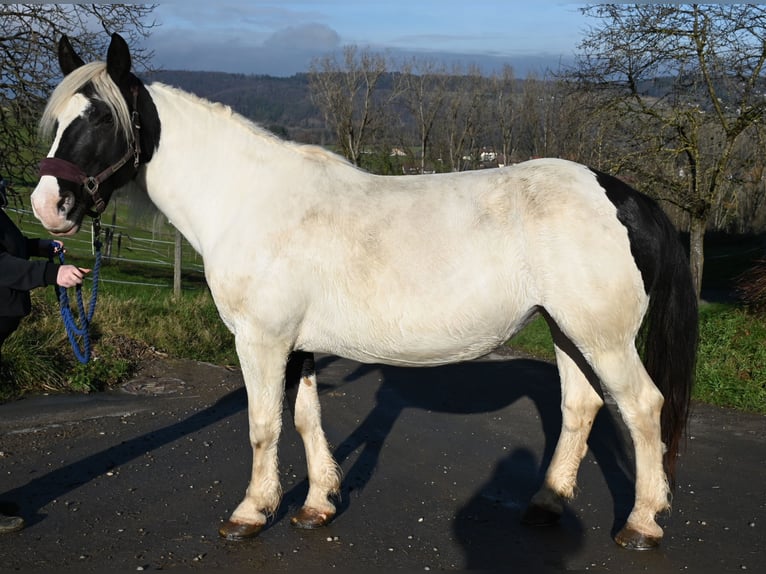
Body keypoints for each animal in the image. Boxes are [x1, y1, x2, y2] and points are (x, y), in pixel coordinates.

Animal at [31, 34, 698, 550]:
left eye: (99, 118)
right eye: (58, 121)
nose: (47, 207)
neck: (250, 200)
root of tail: (625, 195)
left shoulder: (261, 341)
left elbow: (263, 424)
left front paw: (251, 513)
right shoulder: (296, 344)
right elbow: (305, 419)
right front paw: (316, 504)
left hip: (603, 337)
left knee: (642, 407)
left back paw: (642, 523)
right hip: (566, 328)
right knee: (581, 408)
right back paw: (547, 504)